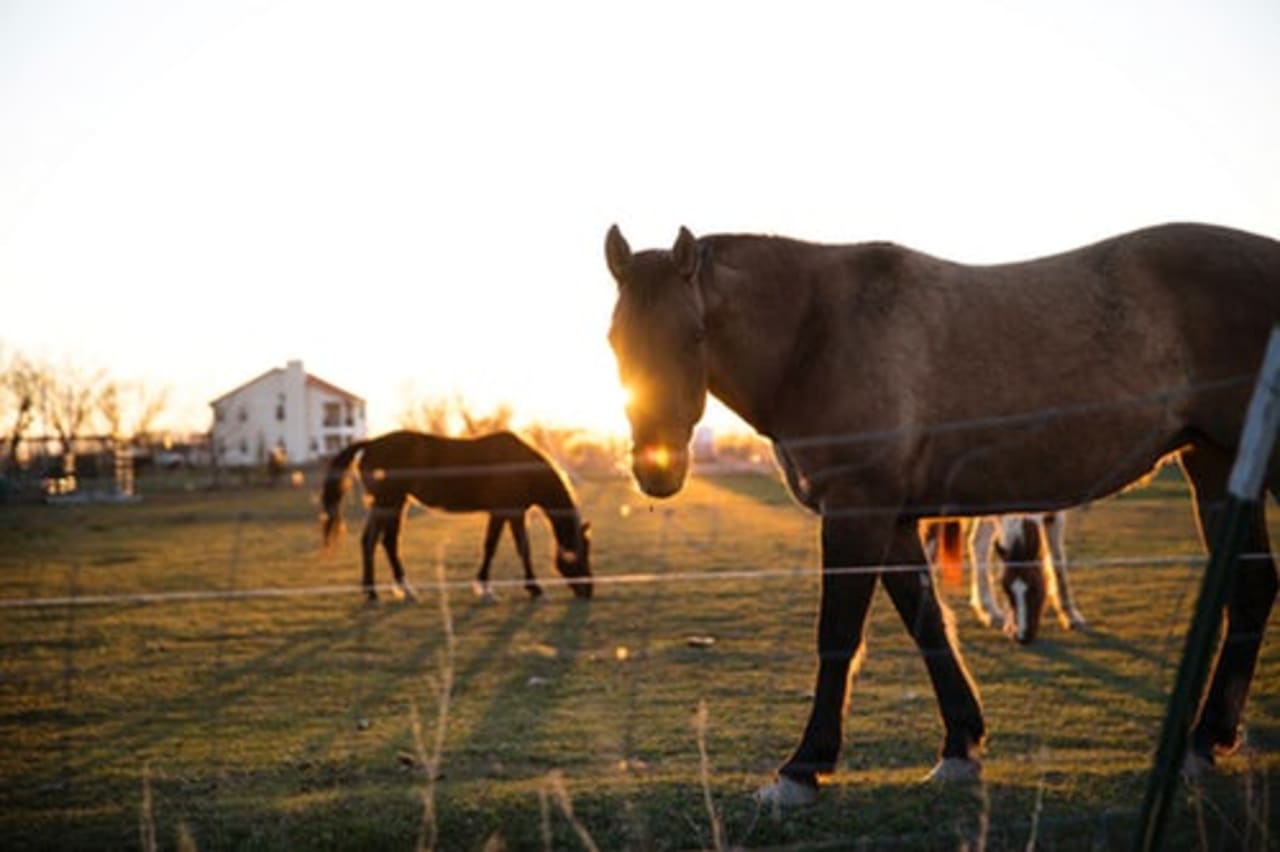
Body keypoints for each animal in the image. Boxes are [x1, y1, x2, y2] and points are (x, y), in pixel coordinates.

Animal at [321, 430, 592, 601]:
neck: (520, 466)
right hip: (390, 502)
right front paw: (513, 589)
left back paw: (376, 592)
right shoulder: (506, 512)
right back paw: (398, 590)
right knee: (385, 542)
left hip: (387, 504)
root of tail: (371, 443)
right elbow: (504, 547)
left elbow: (507, 546)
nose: (588, 590)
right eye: (579, 552)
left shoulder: (511, 513)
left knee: (372, 541)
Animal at [923, 511, 1083, 643]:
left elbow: (1058, 561)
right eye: (1006, 589)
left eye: (1036, 589)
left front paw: (1070, 615)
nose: (1022, 637)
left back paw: (989, 611)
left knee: (977, 542)